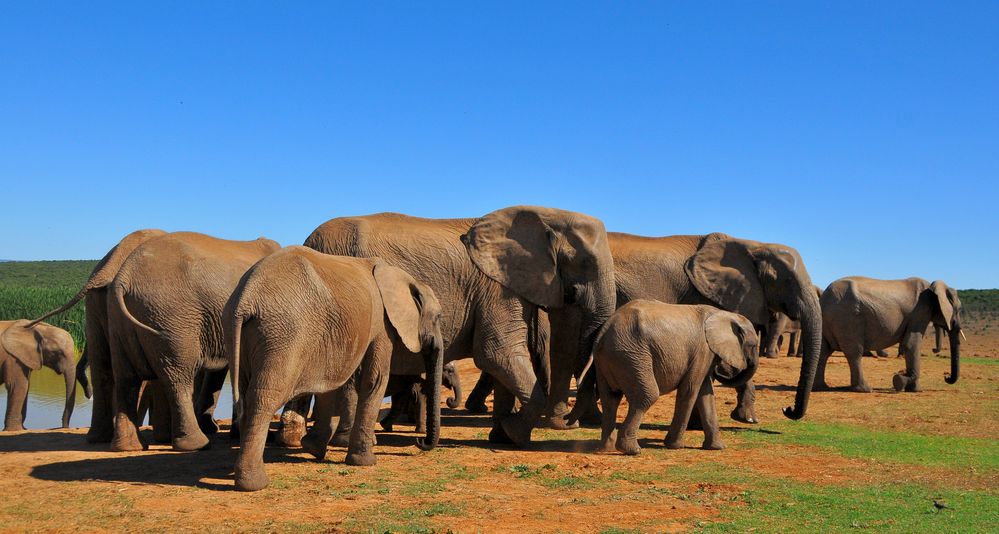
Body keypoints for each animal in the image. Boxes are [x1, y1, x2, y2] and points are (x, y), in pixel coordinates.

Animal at [107, 232, 280, 454]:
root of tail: (125, 276)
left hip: (119, 321)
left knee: (126, 379)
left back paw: (128, 447)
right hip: (173, 321)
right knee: (178, 379)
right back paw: (197, 444)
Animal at [231, 249, 446, 496]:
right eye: (438, 318)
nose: (420, 443)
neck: (403, 276)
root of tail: (246, 298)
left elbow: (334, 380)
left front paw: (313, 449)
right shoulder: (382, 323)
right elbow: (374, 379)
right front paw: (365, 462)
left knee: (245, 396)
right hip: (281, 334)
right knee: (263, 398)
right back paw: (254, 484)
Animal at [292, 207, 612, 450]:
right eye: (585, 262)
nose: (569, 423)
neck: (547, 214)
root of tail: (309, 240)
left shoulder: (506, 285)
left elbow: (502, 361)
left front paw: (502, 436)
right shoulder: (496, 288)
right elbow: (497, 354)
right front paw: (515, 435)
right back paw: (344, 441)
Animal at [592, 302, 756, 456]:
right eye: (753, 346)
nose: (723, 368)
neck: (724, 313)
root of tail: (604, 331)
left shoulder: (705, 355)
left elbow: (705, 394)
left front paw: (718, 448)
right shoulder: (703, 350)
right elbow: (690, 390)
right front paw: (675, 446)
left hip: (609, 360)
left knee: (610, 399)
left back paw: (606, 449)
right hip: (631, 356)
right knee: (647, 396)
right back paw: (632, 450)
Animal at [820, 276, 960, 394]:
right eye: (958, 310)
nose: (946, 377)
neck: (933, 287)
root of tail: (824, 297)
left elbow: (907, 345)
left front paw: (910, 388)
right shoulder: (919, 312)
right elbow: (911, 345)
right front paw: (904, 384)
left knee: (823, 351)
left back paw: (822, 387)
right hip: (847, 318)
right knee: (854, 353)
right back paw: (865, 389)